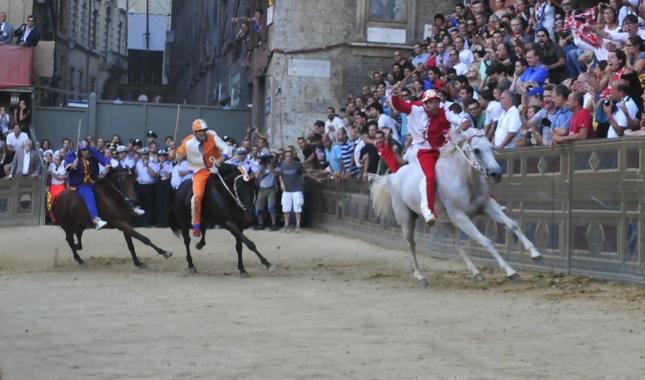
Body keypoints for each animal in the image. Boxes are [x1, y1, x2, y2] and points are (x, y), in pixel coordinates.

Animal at [370, 127, 540, 284]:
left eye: (491, 147)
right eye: (476, 150)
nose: (496, 173)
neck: (464, 179)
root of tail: (394, 176)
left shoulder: (487, 206)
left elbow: (512, 224)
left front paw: (536, 254)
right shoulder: (460, 215)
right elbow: (486, 241)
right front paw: (511, 271)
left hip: (446, 221)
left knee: (455, 242)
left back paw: (476, 273)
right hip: (406, 219)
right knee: (411, 243)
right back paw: (420, 276)